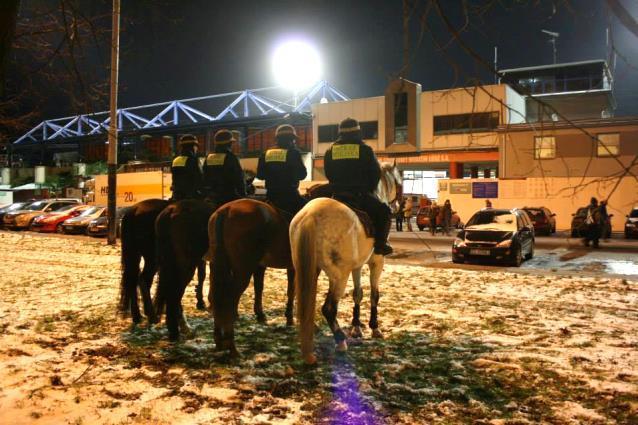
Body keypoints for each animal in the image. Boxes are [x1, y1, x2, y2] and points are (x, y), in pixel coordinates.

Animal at [211, 199, 298, 354]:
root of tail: (226, 210)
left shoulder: (260, 266)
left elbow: (259, 287)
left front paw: (261, 314)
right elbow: (292, 291)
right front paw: (289, 317)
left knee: (218, 298)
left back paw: (219, 341)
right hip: (243, 271)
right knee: (228, 299)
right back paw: (231, 345)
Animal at [292, 161, 402, 362]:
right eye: (400, 184)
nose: (397, 205)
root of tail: (311, 215)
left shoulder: (356, 266)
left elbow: (357, 293)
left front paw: (356, 326)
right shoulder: (377, 262)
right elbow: (374, 294)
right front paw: (374, 327)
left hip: (307, 269)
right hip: (338, 276)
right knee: (328, 309)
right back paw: (340, 341)